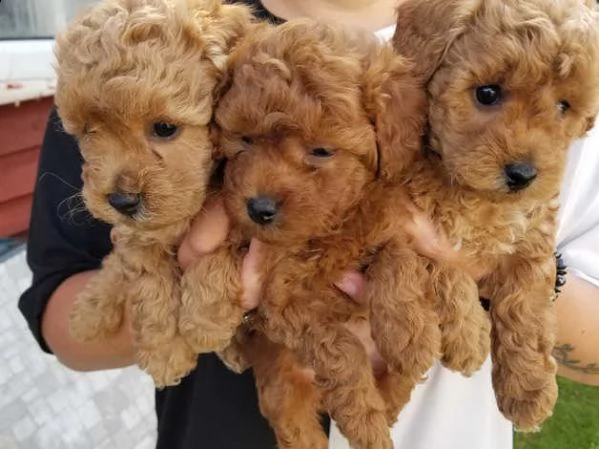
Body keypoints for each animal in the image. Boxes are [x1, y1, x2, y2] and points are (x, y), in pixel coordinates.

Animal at [52, 0, 255, 384]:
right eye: (88, 131)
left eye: (164, 128)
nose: (122, 201)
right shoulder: (136, 235)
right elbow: (147, 281)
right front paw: (165, 351)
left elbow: (220, 249)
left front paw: (204, 322)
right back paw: (90, 309)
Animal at [394, 0, 599, 430]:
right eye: (487, 93)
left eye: (563, 106)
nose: (522, 174)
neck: (479, 198)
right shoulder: (406, 217)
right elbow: (443, 268)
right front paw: (468, 338)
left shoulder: (533, 238)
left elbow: (526, 307)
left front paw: (529, 389)